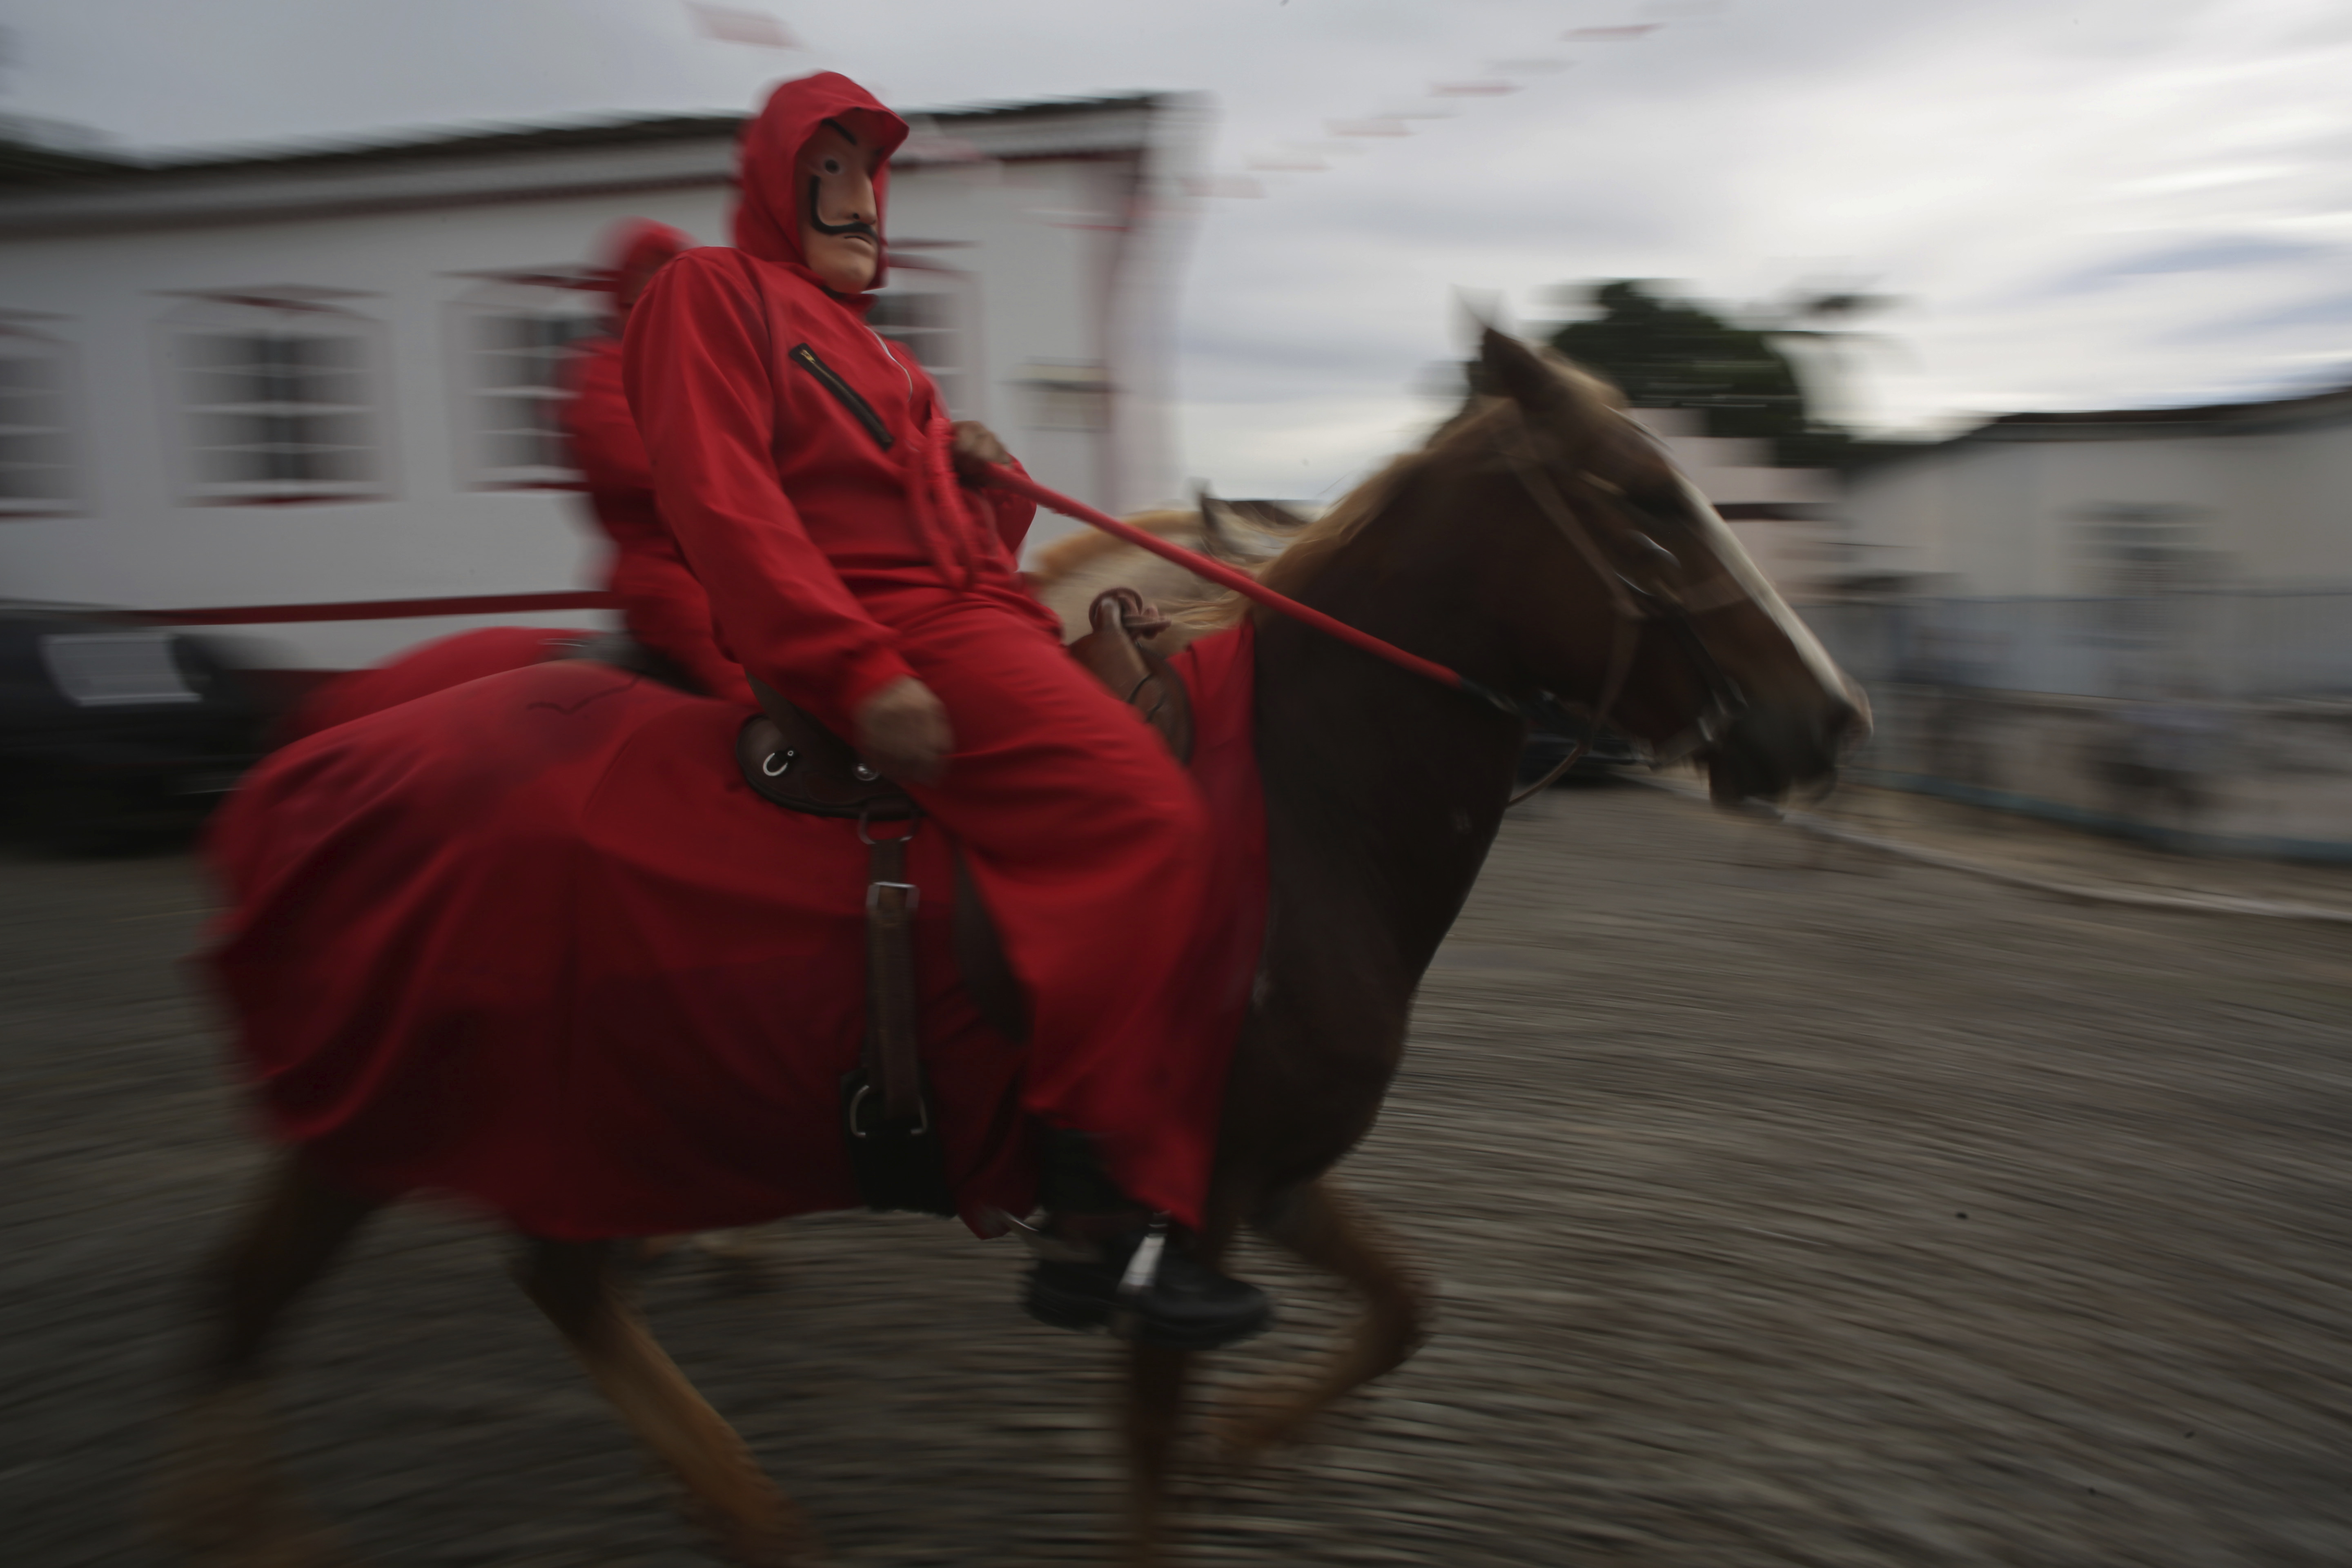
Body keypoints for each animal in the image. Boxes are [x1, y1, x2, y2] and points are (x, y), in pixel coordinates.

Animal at [161, 324, 1853, 1561]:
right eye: (1647, 496)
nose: (1828, 716)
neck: (1301, 799)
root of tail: (332, 746)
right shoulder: (1195, 1210)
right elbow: (1155, 1478)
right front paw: (1214, 1457)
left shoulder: (1262, 1175)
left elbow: (1400, 1312)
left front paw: (1253, 1444)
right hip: (389, 1110)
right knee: (270, 1304)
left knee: (528, 1282)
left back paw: (746, 1509)